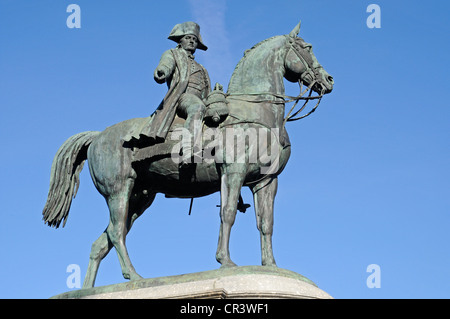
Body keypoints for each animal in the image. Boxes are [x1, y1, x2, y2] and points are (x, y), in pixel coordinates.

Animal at [43, 21, 334, 288]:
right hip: (118, 189)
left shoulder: (266, 181)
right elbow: (227, 213)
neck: (255, 115)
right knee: (116, 233)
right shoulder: (233, 172)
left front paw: (271, 265)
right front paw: (225, 261)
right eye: (307, 48)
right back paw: (135, 277)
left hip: (140, 197)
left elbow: (266, 223)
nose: (329, 80)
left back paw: (92, 288)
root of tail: (98, 136)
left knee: (103, 241)